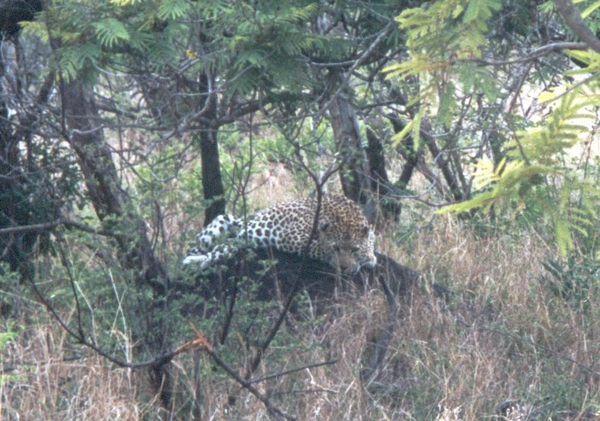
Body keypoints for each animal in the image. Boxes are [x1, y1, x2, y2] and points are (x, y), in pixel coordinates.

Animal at [185, 194, 378, 272]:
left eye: (354, 249)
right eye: (335, 248)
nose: (343, 268)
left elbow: (370, 243)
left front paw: (368, 257)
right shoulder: (292, 236)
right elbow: (320, 248)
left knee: (222, 249)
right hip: (219, 228)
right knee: (203, 250)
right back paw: (194, 261)